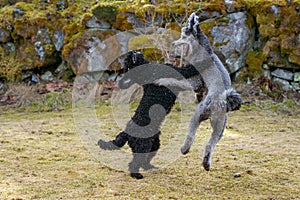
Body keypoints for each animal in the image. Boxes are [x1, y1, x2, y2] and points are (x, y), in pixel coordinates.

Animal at [98, 50, 204, 179]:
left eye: (126, 65)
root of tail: (126, 132)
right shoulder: (181, 71)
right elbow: (194, 66)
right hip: (143, 146)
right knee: (134, 163)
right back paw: (136, 174)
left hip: (154, 144)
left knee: (144, 161)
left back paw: (150, 167)